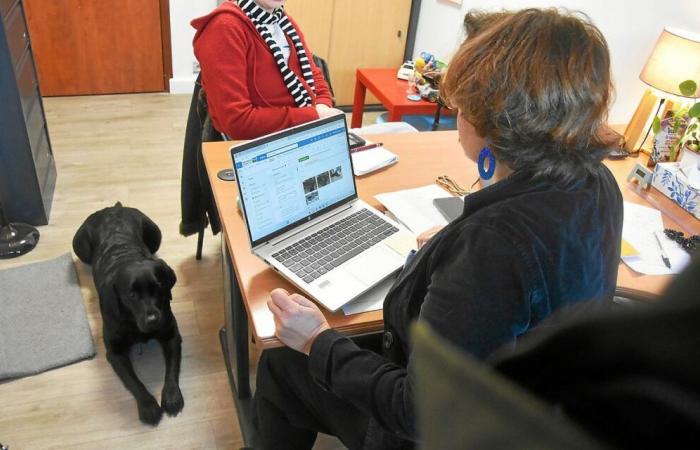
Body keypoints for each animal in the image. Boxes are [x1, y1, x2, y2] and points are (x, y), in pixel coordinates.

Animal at [73, 204, 183, 426]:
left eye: (158, 287)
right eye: (131, 294)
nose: (153, 320)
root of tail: (113, 207)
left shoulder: (171, 334)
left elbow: (172, 368)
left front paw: (172, 395)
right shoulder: (114, 352)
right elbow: (134, 381)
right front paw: (148, 406)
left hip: (155, 233)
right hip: (78, 244)